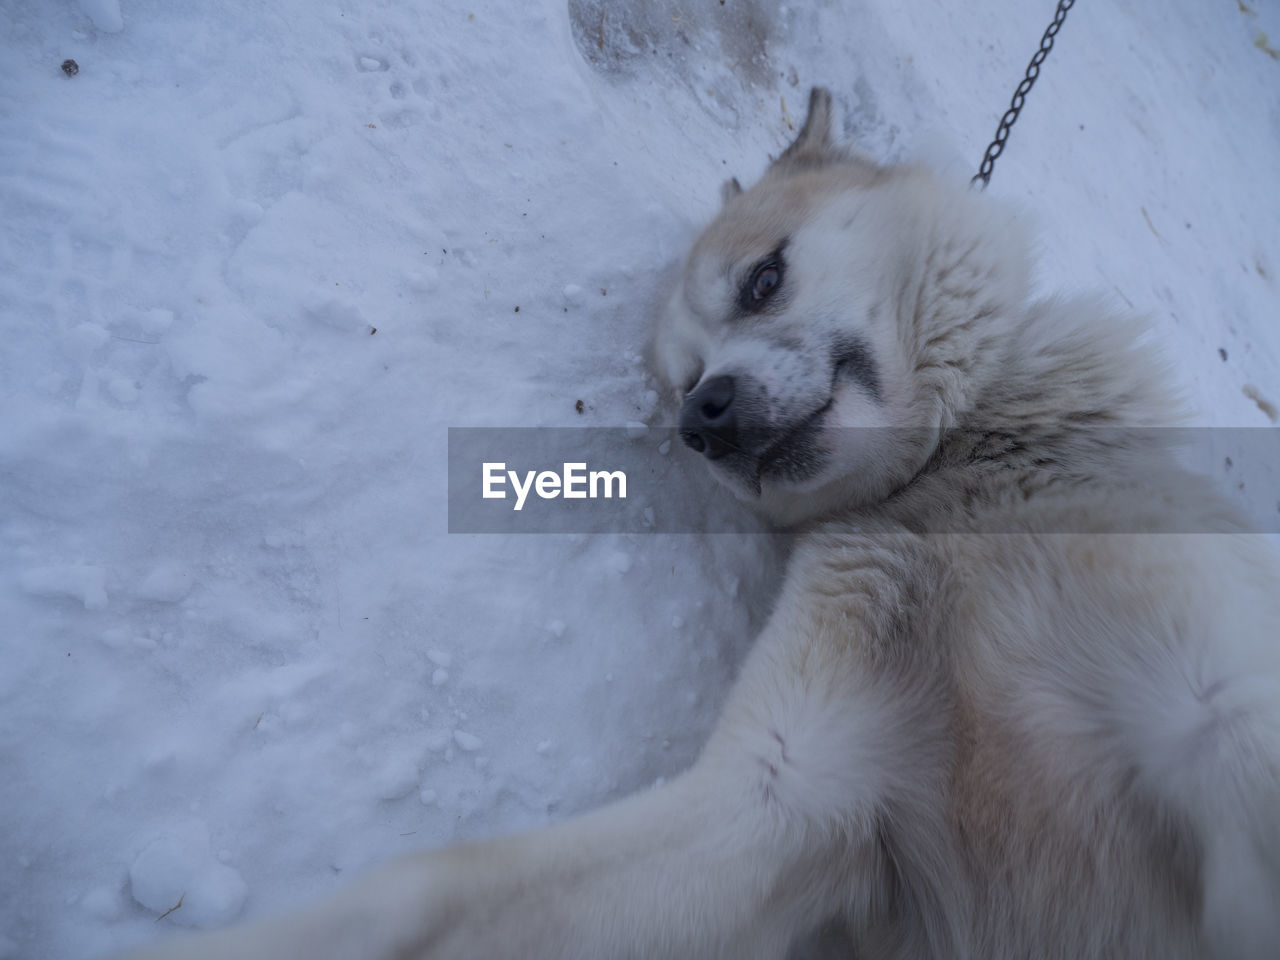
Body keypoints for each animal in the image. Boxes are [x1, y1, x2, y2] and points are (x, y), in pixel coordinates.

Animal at [122, 90, 1280, 960]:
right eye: (681, 383)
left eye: (763, 279)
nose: (704, 418)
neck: (933, 490)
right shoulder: (784, 795)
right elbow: (420, 891)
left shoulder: (1226, 719)